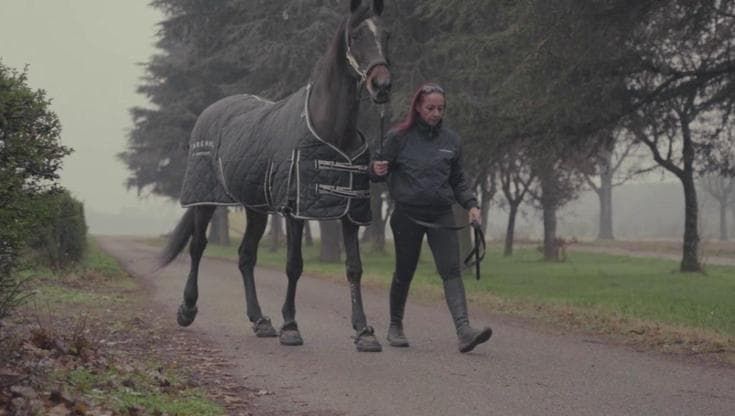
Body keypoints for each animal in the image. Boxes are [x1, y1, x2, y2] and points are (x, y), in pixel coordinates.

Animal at [158, 0, 391, 352]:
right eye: (355, 36)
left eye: (386, 35)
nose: (382, 86)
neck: (330, 130)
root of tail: (211, 111)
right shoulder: (294, 210)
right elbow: (294, 266)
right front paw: (291, 327)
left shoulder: (350, 210)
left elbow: (354, 268)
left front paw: (364, 331)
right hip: (204, 200)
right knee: (198, 246)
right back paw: (187, 309)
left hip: (256, 209)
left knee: (245, 257)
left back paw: (259, 320)